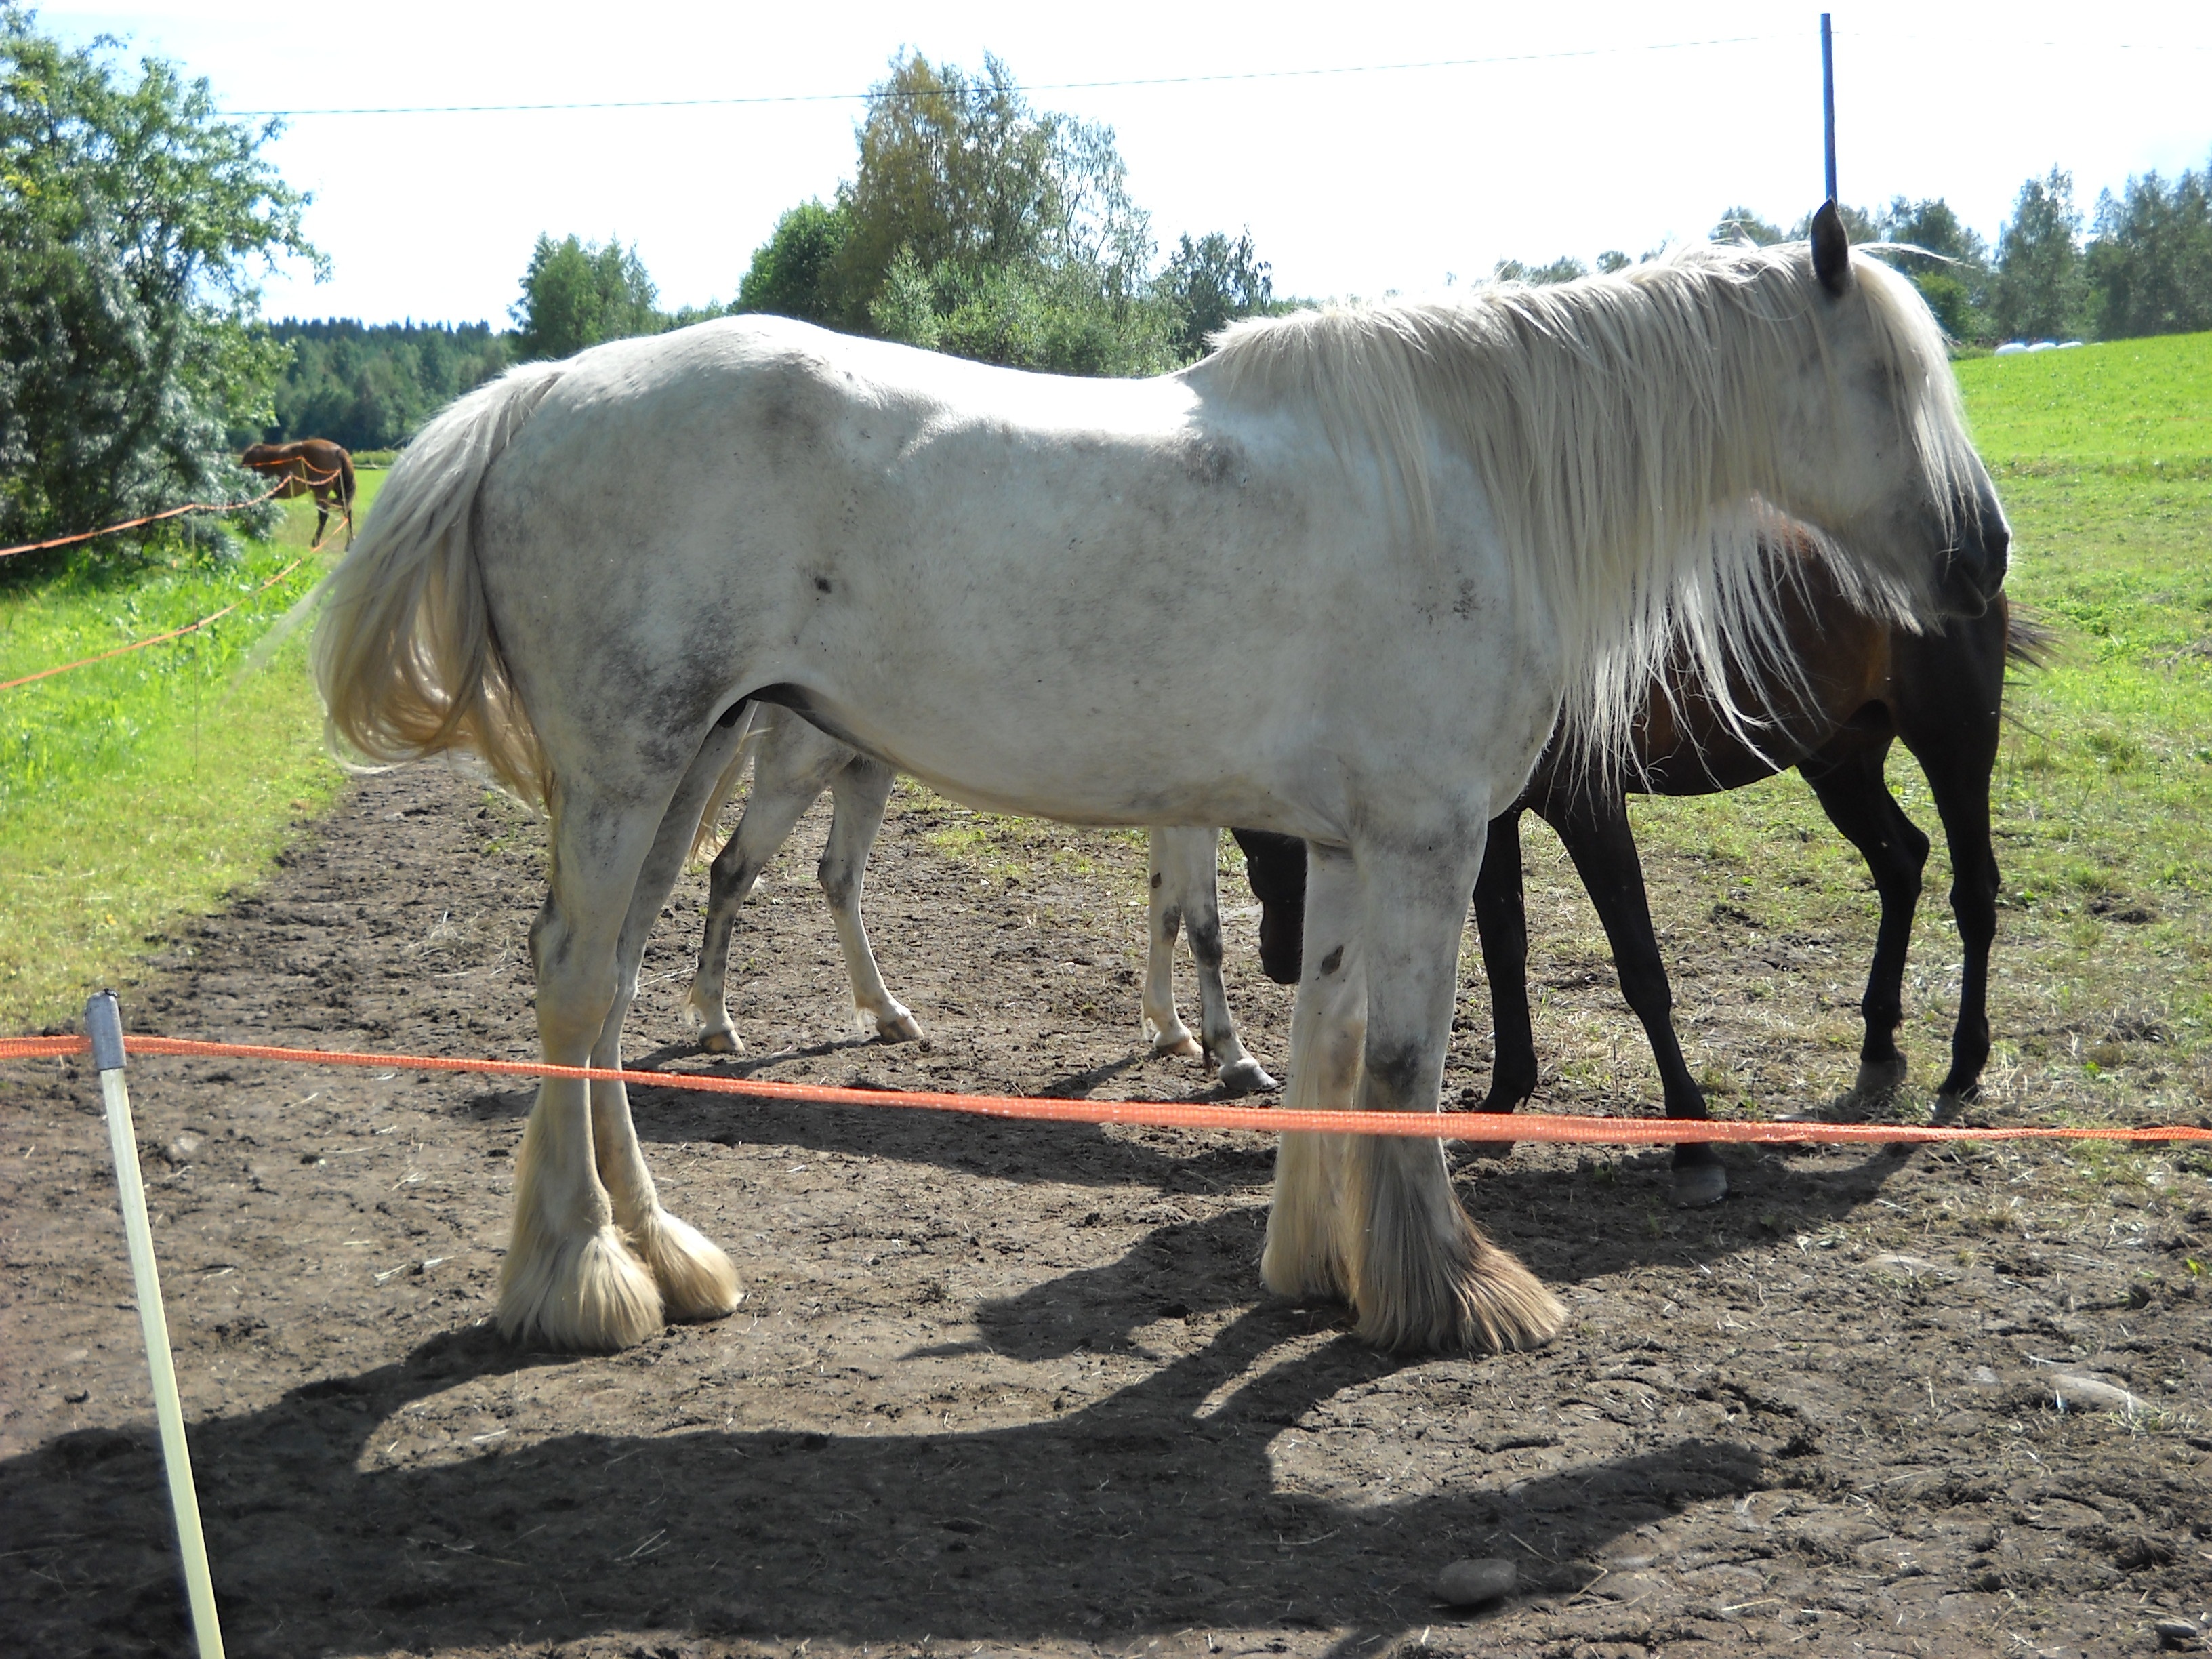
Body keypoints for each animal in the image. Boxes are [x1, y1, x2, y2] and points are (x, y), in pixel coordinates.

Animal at [241, 438, 357, 547]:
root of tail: (339, 450)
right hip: (340, 490)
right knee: (347, 512)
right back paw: (349, 543)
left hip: (321, 493)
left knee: (324, 516)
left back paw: (315, 542)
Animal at [677, 703, 1280, 1094]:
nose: (1278, 961)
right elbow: (1206, 932)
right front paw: (1234, 1057)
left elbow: (1165, 915)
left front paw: (1170, 1030)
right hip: (798, 771)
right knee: (733, 870)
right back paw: (716, 1022)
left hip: (864, 769)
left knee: (839, 877)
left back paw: (888, 1012)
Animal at [1232, 535, 2052, 1207]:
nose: (1280, 961)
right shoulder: (1494, 816)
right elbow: (1504, 952)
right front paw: (1502, 1099)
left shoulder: (1590, 805)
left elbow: (1641, 970)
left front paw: (1693, 1142)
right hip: (1838, 756)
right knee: (1902, 865)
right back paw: (1879, 1046)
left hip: (1953, 743)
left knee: (1973, 893)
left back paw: (1963, 1065)